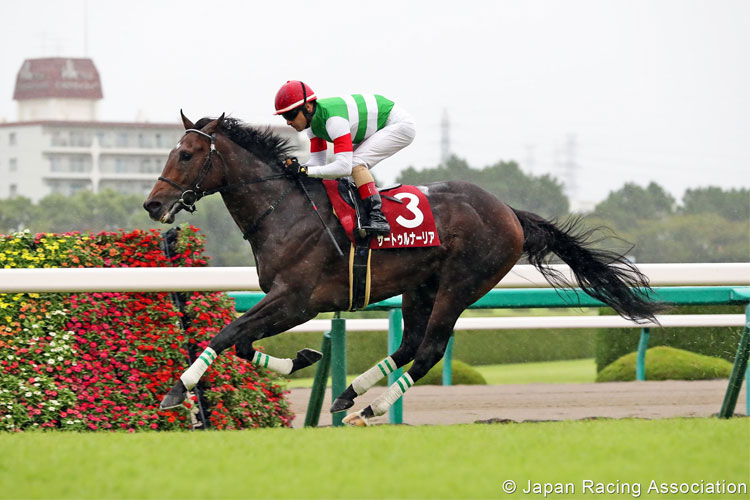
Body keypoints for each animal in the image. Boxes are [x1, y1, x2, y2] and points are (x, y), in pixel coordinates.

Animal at [142, 113, 664, 426]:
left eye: (186, 154)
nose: (153, 204)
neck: (283, 210)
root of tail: (510, 213)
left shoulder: (296, 299)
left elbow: (228, 334)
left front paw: (176, 391)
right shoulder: (286, 302)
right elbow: (244, 343)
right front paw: (304, 358)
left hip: (460, 284)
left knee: (429, 349)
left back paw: (371, 407)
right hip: (420, 287)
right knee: (410, 344)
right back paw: (348, 396)